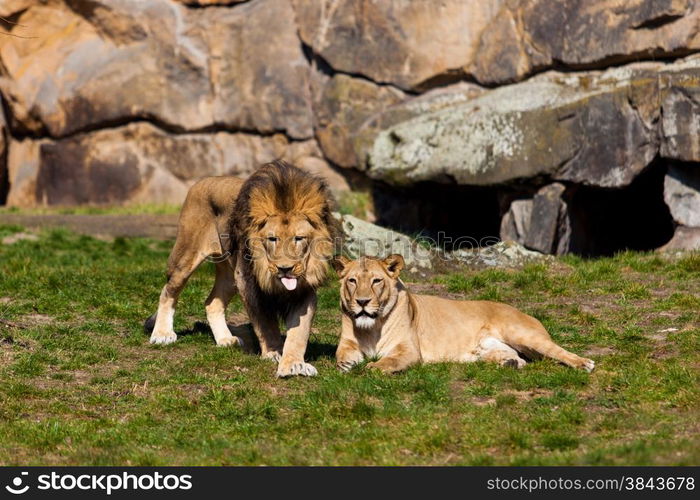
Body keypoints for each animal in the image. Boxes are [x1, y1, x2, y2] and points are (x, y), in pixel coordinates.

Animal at [144, 162, 340, 376]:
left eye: (299, 238)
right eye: (272, 238)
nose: (285, 268)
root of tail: (201, 181)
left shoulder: (304, 289)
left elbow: (299, 332)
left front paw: (294, 363)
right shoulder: (248, 282)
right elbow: (265, 323)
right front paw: (273, 352)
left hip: (230, 277)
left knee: (212, 302)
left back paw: (225, 339)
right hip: (187, 257)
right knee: (168, 290)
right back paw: (162, 334)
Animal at [330, 256, 592, 374]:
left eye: (376, 281)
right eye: (353, 281)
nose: (362, 302)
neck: (372, 327)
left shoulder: (409, 350)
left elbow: (389, 361)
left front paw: (372, 367)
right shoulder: (348, 343)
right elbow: (341, 355)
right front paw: (346, 365)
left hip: (524, 335)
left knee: (557, 351)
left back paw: (584, 363)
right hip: (487, 349)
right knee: (517, 358)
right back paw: (509, 363)